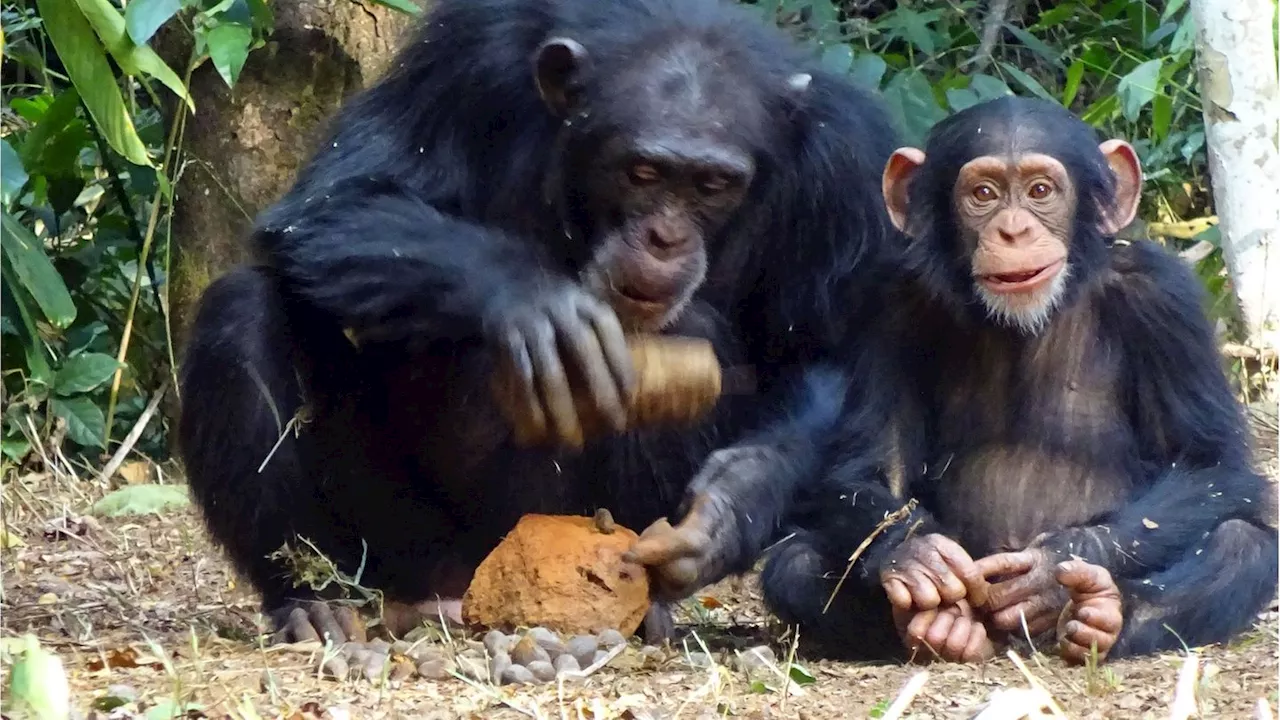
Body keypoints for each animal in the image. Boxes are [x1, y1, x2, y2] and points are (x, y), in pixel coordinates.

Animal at [180, 0, 906, 645]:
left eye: (712, 185)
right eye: (642, 171)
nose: (665, 238)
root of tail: (460, 593)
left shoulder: (844, 161)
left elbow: (828, 352)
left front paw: (729, 508)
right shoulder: (464, 59)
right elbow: (335, 202)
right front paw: (532, 302)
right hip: (395, 544)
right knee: (241, 310)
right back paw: (312, 600)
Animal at [757, 96, 1280, 666]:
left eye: (1040, 191)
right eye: (983, 194)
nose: (1013, 231)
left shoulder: (1165, 297)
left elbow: (1210, 463)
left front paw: (1052, 567)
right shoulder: (888, 300)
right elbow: (871, 466)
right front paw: (917, 551)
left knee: (1242, 544)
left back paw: (1103, 614)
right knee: (795, 562)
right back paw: (938, 628)